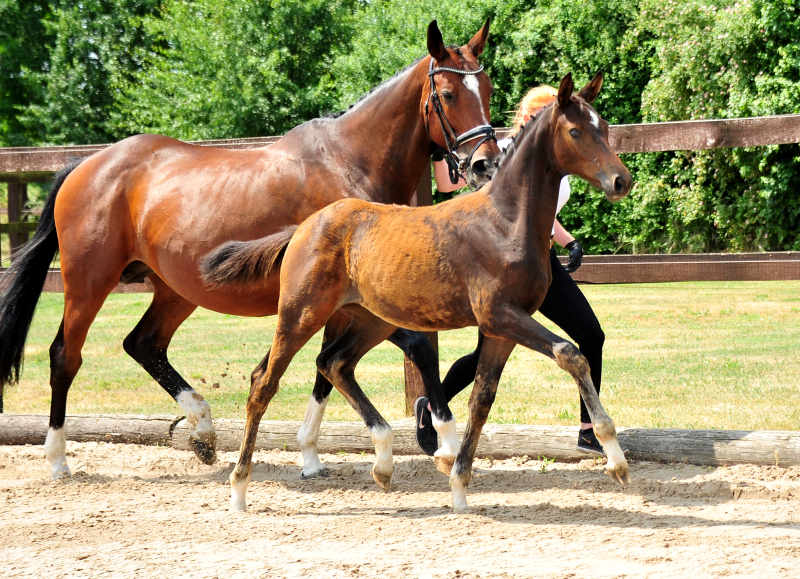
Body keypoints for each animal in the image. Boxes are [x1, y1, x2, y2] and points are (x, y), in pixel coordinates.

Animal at [0, 19, 500, 480]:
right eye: (448, 94)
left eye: (488, 88)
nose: (485, 164)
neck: (351, 163)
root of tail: (88, 163)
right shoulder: (349, 299)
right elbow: (411, 347)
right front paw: (439, 439)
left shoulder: (339, 303)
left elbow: (325, 369)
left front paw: (311, 455)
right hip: (89, 281)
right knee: (65, 355)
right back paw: (58, 459)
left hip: (175, 290)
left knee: (144, 343)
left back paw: (203, 432)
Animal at [200, 72, 632, 512]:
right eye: (575, 132)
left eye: (604, 128)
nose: (621, 180)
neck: (505, 222)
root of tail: (304, 226)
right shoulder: (501, 315)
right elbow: (571, 353)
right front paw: (615, 459)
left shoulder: (500, 329)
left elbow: (481, 399)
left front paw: (459, 487)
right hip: (301, 314)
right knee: (264, 383)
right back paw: (239, 490)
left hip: (370, 319)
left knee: (333, 362)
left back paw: (383, 462)